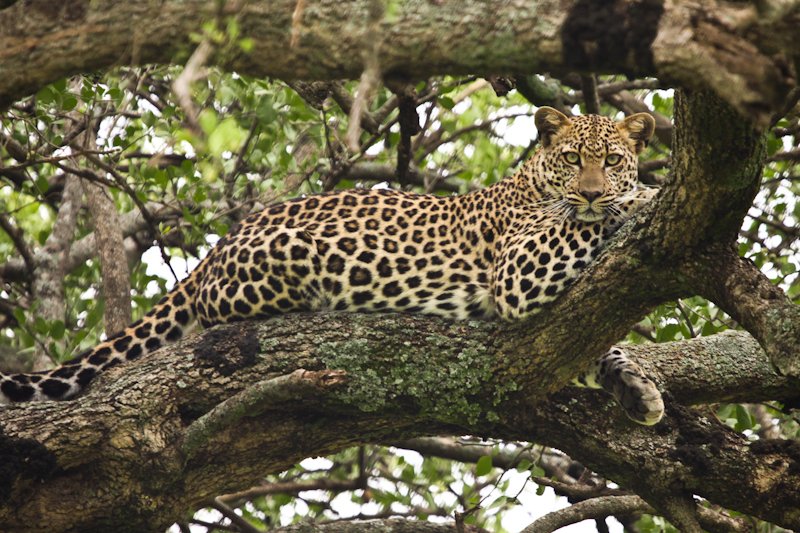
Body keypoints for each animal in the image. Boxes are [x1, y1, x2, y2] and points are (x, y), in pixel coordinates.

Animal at [0, 107, 664, 424]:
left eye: (612, 159)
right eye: (574, 158)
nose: (593, 191)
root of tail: (220, 243)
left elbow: (600, 344)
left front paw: (637, 389)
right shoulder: (520, 269)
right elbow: (579, 228)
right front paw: (641, 198)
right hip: (296, 257)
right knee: (220, 311)